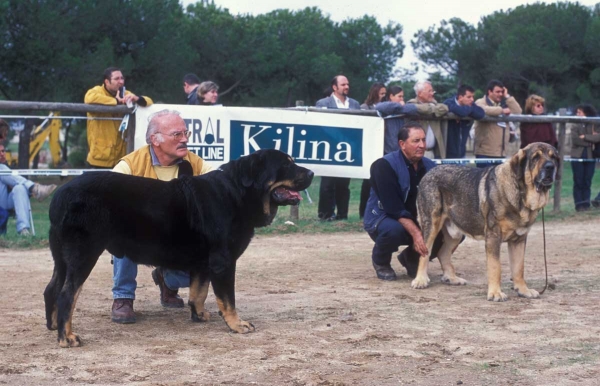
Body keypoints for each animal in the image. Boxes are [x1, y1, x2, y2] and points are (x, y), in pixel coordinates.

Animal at [44, 149, 314, 348]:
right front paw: (237, 325)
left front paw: (199, 315)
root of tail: (60, 195)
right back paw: (67, 338)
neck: (238, 193)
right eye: (286, 165)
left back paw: (54, 326)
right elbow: (228, 299)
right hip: (84, 253)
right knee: (67, 293)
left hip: (61, 258)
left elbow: (199, 292)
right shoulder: (223, 261)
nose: (312, 172)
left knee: (51, 289)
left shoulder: (205, 263)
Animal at [412, 142, 556, 302]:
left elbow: (519, 268)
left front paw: (524, 290)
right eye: (535, 157)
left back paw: (452, 278)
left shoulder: (519, 240)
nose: (550, 167)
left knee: (443, 253)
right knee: (425, 252)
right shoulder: (493, 236)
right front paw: (495, 293)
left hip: (455, 232)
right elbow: (495, 267)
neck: (520, 194)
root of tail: (429, 173)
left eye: (553, 157)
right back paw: (420, 280)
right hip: (431, 224)